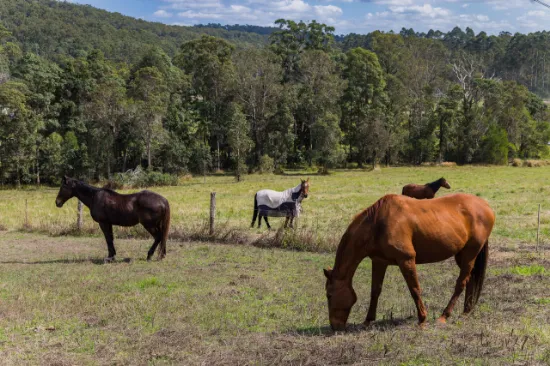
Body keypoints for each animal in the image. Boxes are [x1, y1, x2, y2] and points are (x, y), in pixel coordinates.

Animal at [324, 194, 496, 332]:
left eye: (329, 295)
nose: (335, 326)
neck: (378, 223)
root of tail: (485, 206)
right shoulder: (379, 261)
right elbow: (375, 291)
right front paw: (368, 320)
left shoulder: (406, 260)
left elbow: (414, 289)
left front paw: (422, 320)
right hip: (461, 255)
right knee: (471, 279)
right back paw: (467, 310)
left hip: (469, 254)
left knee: (461, 283)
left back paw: (444, 316)